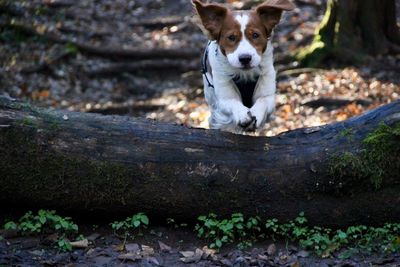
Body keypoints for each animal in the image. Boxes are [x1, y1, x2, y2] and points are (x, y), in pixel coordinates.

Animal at [192, 0, 296, 133]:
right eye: (231, 37)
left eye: (255, 35)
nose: (245, 58)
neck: (244, 74)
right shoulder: (223, 96)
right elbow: (233, 102)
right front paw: (243, 116)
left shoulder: (268, 92)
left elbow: (263, 100)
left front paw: (255, 114)